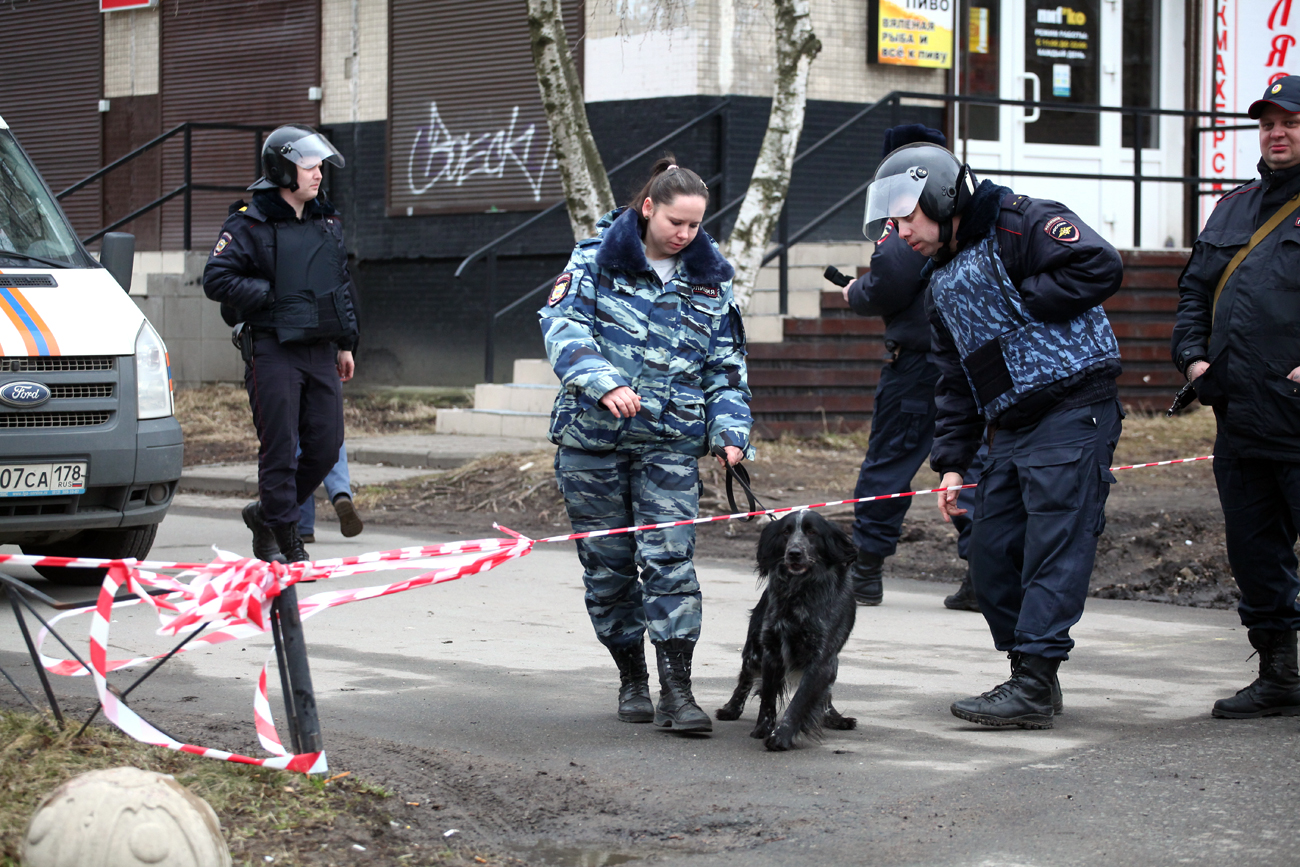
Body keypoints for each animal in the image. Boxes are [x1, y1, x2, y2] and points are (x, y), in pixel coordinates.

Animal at [717, 512, 857, 748]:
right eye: (785, 532)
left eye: (812, 531)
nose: (794, 553)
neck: (799, 591)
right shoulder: (771, 650)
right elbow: (767, 697)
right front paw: (763, 729)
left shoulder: (821, 659)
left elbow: (801, 700)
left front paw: (781, 736)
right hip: (754, 649)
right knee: (745, 678)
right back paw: (731, 709)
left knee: (825, 694)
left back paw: (835, 718)